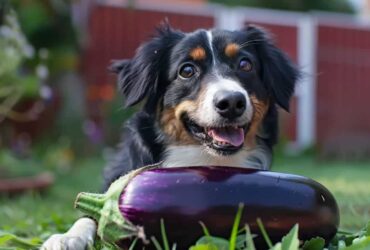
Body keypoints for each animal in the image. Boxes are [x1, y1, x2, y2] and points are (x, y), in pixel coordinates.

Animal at [42, 23, 300, 250]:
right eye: (186, 70)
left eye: (245, 65)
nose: (231, 102)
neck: (206, 160)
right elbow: (88, 216)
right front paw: (66, 238)